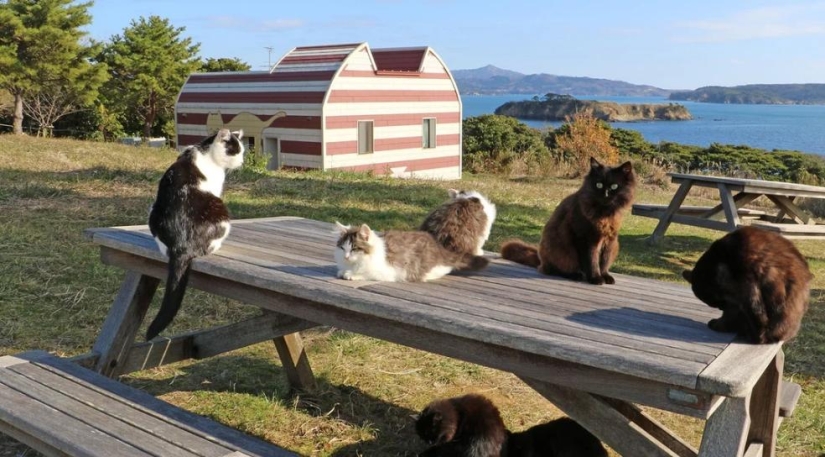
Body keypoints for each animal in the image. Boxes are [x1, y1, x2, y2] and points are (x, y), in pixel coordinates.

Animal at [146, 127, 245, 338]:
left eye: (241, 152)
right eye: (235, 152)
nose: (241, 162)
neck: (204, 150)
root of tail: (182, 245)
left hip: (153, 211)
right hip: (221, 211)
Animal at [334, 222, 490, 282]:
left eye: (354, 248)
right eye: (343, 248)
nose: (346, 257)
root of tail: (439, 247)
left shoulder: (389, 271)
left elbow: (366, 273)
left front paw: (351, 274)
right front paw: (344, 271)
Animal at [498, 158, 636, 284]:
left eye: (614, 186)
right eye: (599, 185)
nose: (605, 195)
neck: (604, 214)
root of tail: (540, 258)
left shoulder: (610, 240)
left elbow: (604, 262)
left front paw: (605, 276)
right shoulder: (585, 239)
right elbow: (592, 261)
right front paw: (595, 278)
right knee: (552, 269)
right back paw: (576, 275)